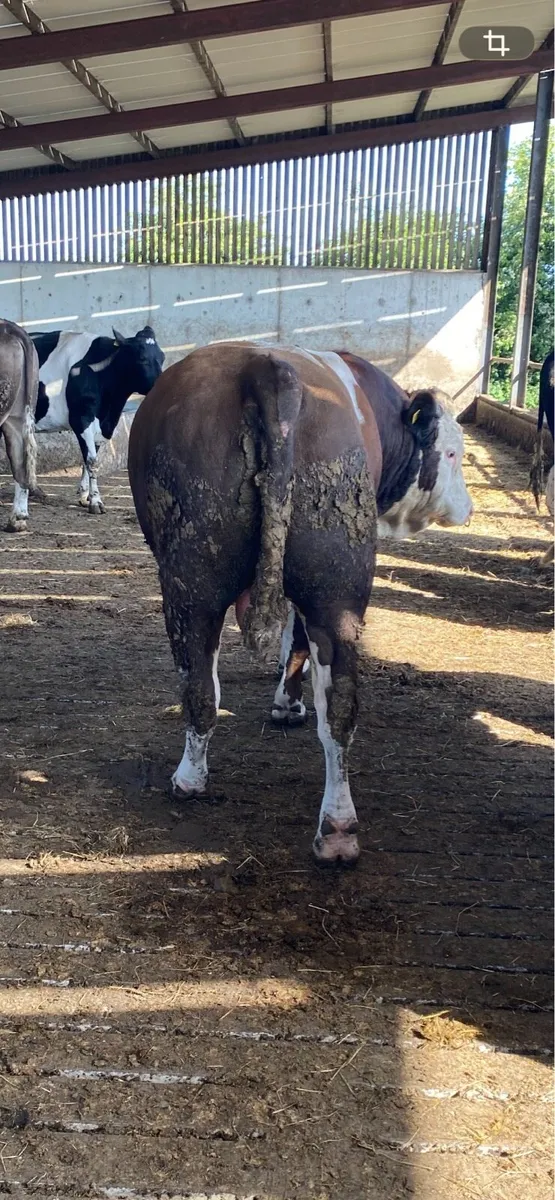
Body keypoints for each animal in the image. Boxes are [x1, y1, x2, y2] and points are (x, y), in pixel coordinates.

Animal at [23, 326, 164, 516]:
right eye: (142, 359)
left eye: (162, 357)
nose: (162, 385)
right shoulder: (82, 419)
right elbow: (92, 461)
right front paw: (96, 501)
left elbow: (87, 459)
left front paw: (85, 496)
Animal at [128, 344, 473, 865]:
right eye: (451, 452)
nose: (468, 508)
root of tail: (266, 368)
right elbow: (296, 640)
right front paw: (287, 704)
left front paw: (285, 704)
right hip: (333, 588)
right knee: (337, 706)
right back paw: (337, 829)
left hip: (194, 587)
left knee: (202, 688)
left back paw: (192, 780)